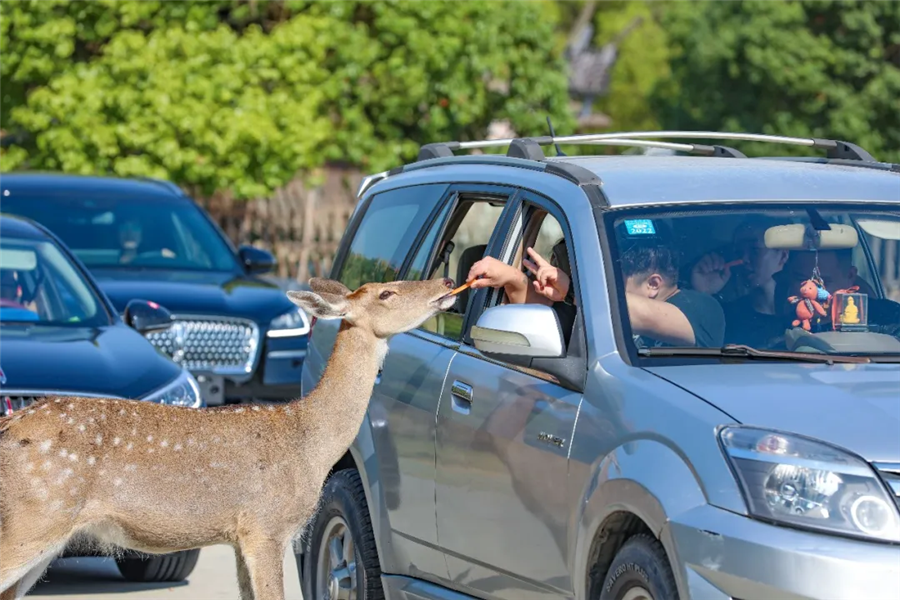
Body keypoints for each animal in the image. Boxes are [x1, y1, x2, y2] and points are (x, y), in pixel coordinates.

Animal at [0, 276, 458, 600]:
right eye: (387, 292)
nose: (447, 281)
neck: (309, 441)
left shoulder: (240, 536)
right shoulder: (265, 525)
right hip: (36, 517)